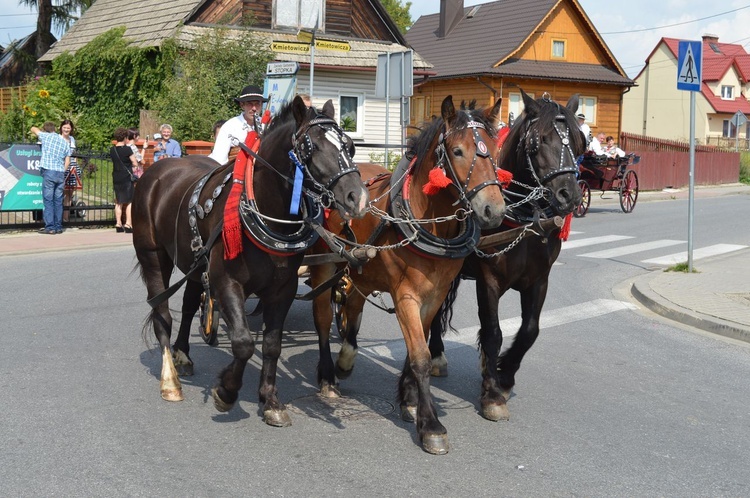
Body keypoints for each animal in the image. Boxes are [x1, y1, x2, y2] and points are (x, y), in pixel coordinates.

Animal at [134, 98, 370, 428]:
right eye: (312, 147)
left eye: (349, 145)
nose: (357, 198)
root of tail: (158, 168)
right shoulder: (226, 282)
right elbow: (244, 343)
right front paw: (226, 391)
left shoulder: (283, 288)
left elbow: (272, 344)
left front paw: (270, 401)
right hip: (153, 256)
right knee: (162, 315)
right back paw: (170, 381)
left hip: (195, 264)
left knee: (191, 303)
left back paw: (182, 356)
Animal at [308, 95, 508, 454]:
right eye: (458, 151)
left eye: (495, 150)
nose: (494, 210)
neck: (429, 223)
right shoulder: (405, 296)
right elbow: (420, 356)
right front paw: (430, 425)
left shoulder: (435, 295)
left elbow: (420, 346)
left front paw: (410, 400)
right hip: (325, 264)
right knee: (322, 318)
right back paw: (329, 376)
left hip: (360, 269)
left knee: (353, 304)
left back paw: (346, 357)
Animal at [428, 89, 588, 420]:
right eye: (540, 140)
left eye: (580, 142)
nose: (570, 196)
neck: (522, 217)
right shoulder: (488, 280)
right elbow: (493, 332)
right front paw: (492, 392)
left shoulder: (539, 280)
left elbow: (530, 331)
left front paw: (504, 375)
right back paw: (435, 354)